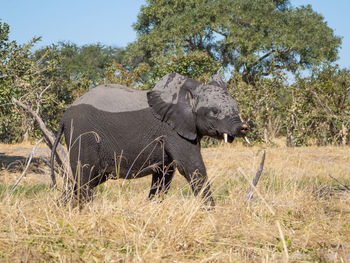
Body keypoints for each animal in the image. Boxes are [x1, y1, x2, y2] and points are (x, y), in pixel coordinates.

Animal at [51, 72, 249, 208]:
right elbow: (192, 167)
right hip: (84, 135)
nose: (244, 127)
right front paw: (211, 214)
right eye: (214, 112)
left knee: (86, 180)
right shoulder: (171, 129)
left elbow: (165, 172)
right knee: (84, 177)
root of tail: (64, 118)